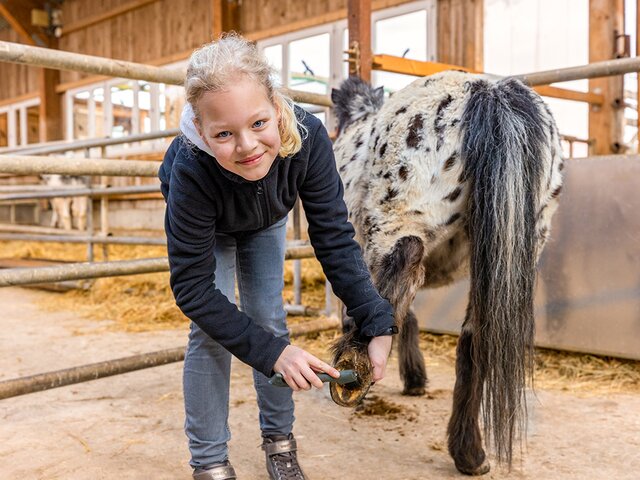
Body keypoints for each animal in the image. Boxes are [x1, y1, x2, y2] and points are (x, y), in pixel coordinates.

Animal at [332, 72, 564, 476]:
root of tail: (489, 93)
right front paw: (414, 379)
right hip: (510, 251)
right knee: (476, 336)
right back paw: (470, 454)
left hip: (403, 221)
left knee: (400, 273)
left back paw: (353, 376)